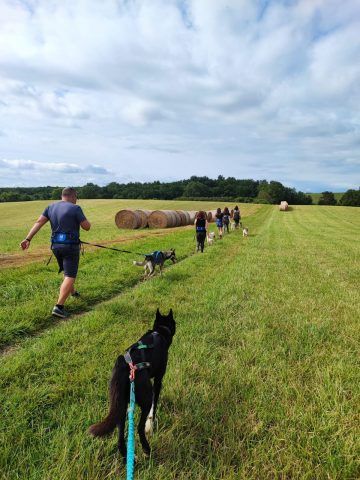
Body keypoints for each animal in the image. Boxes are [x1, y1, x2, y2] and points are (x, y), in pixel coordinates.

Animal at [88, 310, 176, 464]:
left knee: (119, 437)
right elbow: (154, 406)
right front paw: (151, 424)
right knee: (139, 428)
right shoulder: (158, 380)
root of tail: (123, 366)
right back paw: (146, 450)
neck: (159, 331)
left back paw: (128, 458)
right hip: (144, 399)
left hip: (120, 406)